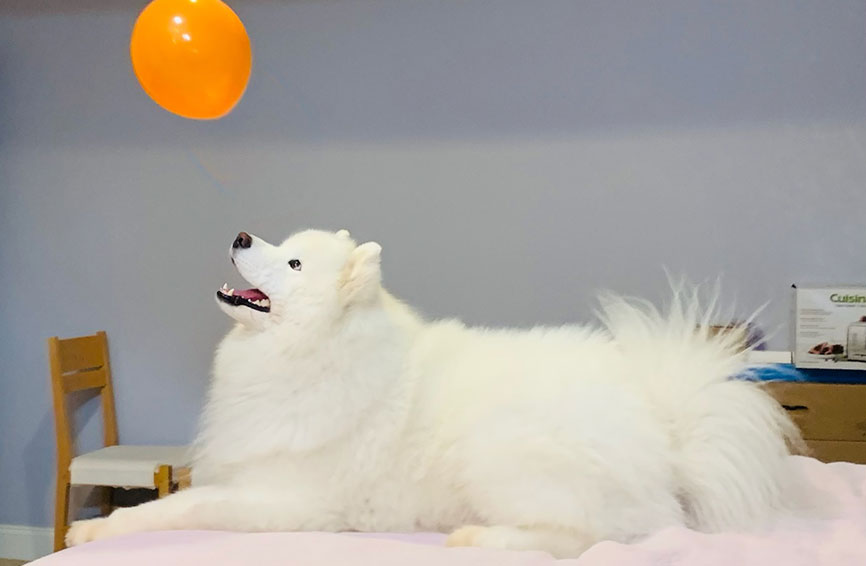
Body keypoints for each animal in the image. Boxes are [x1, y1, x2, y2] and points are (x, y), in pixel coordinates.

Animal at [64, 229, 800, 556]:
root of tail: (663, 428)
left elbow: (180, 509)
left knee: (587, 537)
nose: (242, 233)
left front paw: (97, 528)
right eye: (276, 240)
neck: (314, 353)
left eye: (294, 262)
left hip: (499, 447)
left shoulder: (283, 500)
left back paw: (480, 537)